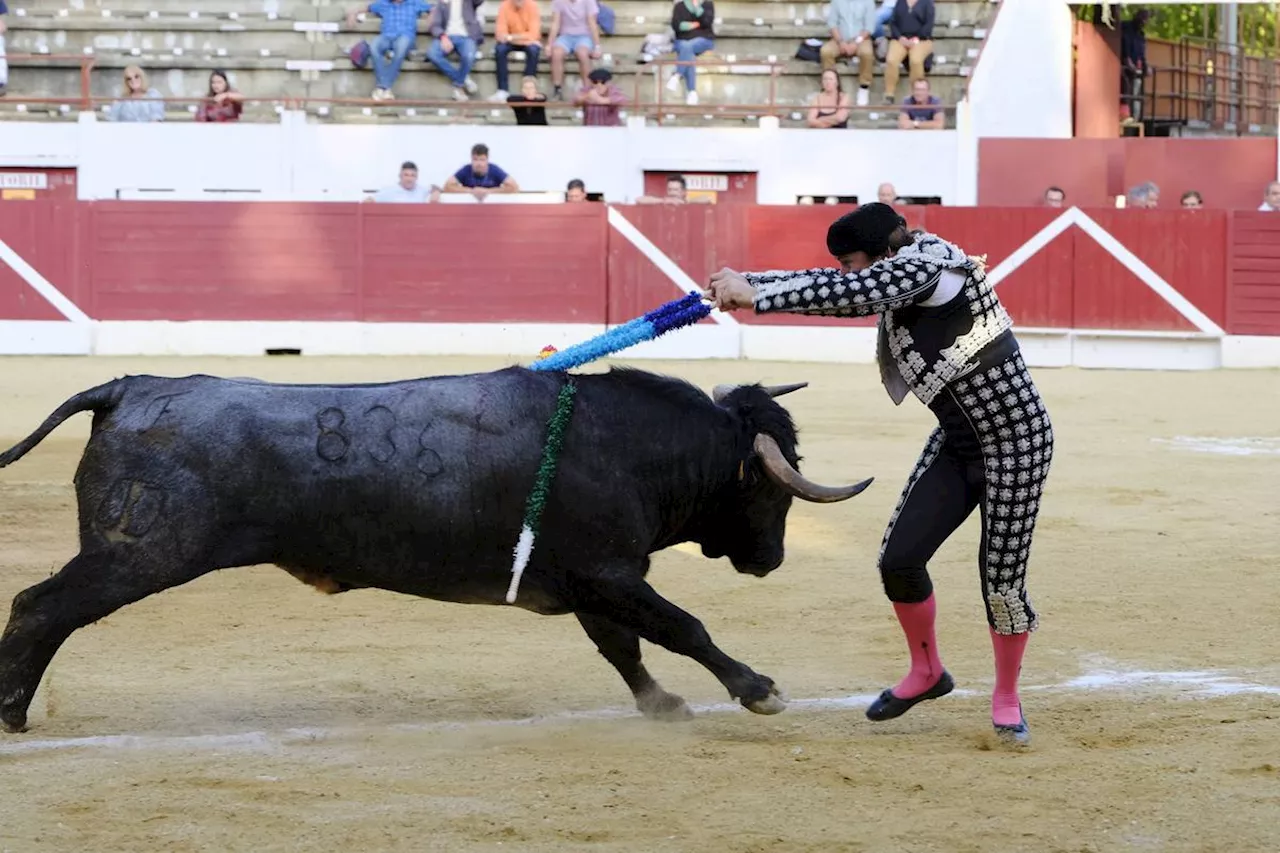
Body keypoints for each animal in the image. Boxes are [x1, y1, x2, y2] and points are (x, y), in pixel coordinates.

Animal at [0, 366, 870, 732]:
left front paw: (663, 704)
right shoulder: (610, 572)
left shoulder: (594, 581)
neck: (631, 446)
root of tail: (128, 386)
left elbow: (624, 647)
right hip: (137, 554)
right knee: (39, 607)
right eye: (769, 488)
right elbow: (683, 625)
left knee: (42, 611)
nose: (771, 559)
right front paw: (759, 689)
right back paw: (12, 710)